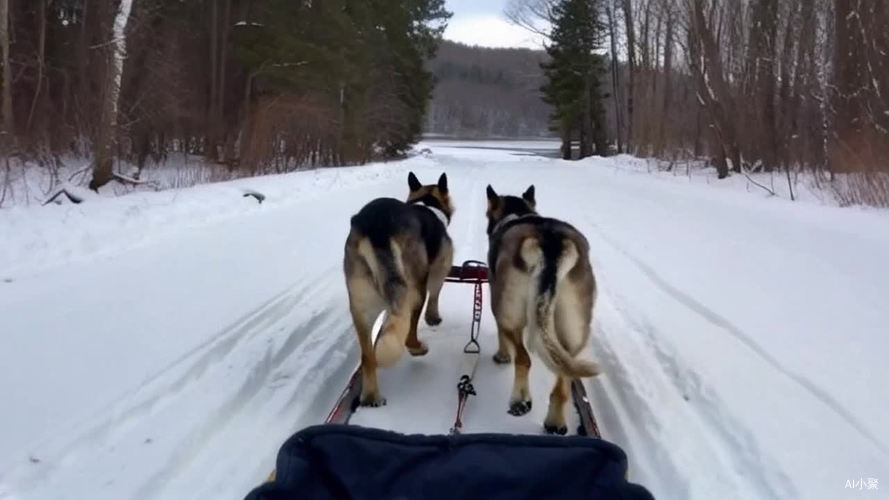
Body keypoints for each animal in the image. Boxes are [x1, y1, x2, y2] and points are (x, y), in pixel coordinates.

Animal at [338, 172, 450, 406]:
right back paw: (418, 348)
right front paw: (433, 318)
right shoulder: (440, 268)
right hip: (415, 291)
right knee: (408, 334)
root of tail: (377, 228)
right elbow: (436, 294)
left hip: (361, 305)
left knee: (368, 356)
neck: (427, 202)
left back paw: (371, 396)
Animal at [482, 184, 600, 434]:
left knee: (523, 359)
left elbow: (502, 338)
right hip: (573, 328)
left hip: (508, 312)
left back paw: (520, 400)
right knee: (564, 379)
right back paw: (555, 421)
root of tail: (550, 243)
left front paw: (502, 356)